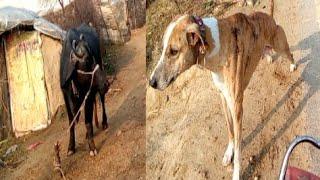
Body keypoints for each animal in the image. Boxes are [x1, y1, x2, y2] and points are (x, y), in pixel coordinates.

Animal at [60, 23, 109, 156]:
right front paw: (71, 147)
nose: (107, 83)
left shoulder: (89, 94)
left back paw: (104, 123)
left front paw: (92, 147)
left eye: (93, 57)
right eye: (87, 60)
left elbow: (87, 121)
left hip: (98, 90)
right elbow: (71, 122)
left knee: (102, 101)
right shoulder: (66, 97)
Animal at [149, 11, 296, 179]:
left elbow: (239, 149)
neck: (215, 46)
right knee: (268, 51)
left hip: (281, 46)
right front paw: (228, 152)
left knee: (290, 54)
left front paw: (236, 172)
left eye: (173, 51)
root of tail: (269, 16)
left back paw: (292, 65)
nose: (151, 82)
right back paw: (269, 56)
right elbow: (229, 130)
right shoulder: (223, 97)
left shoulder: (237, 105)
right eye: (162, 49)